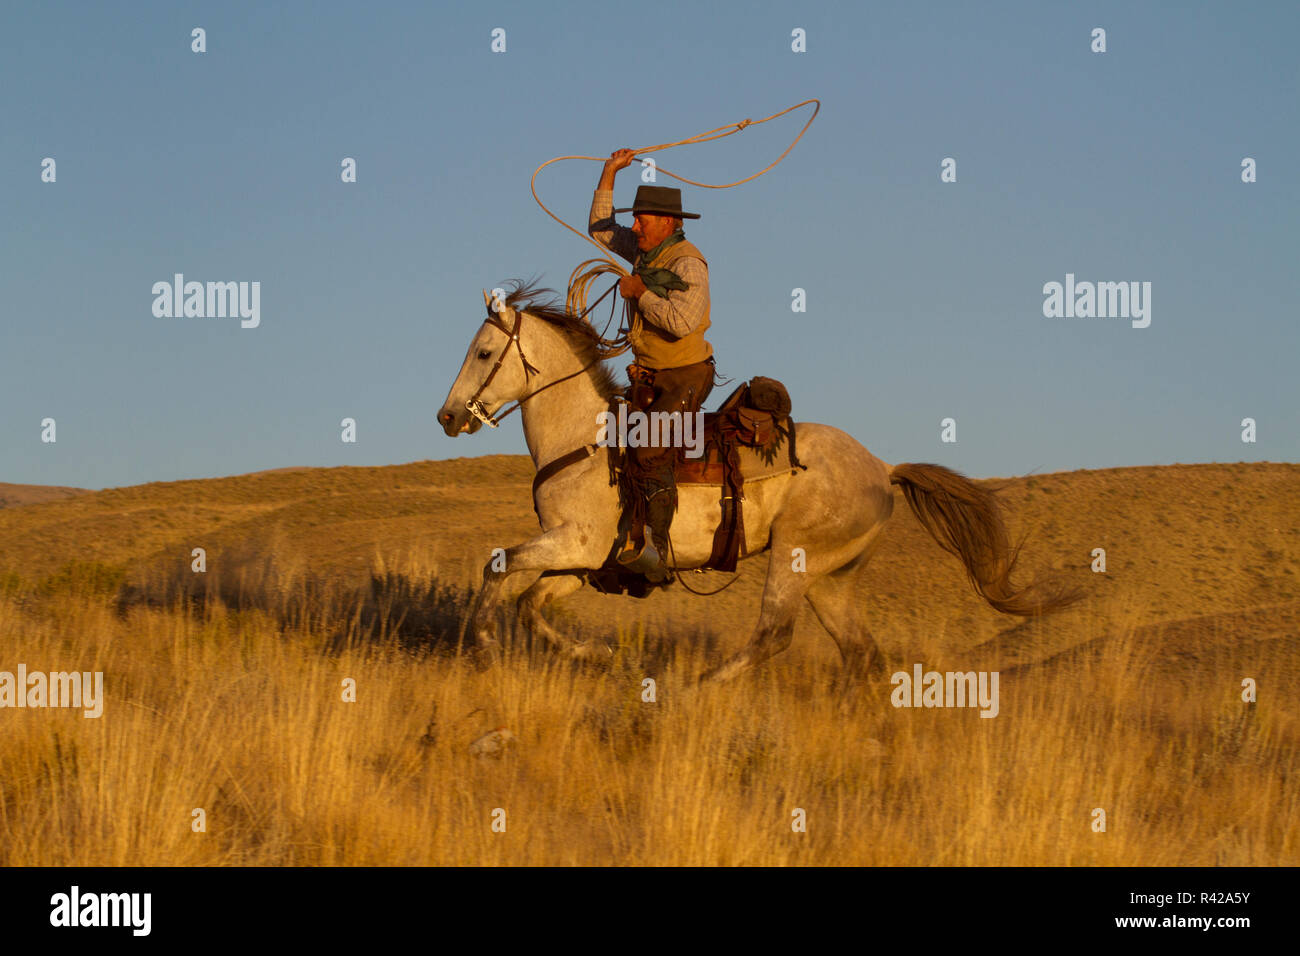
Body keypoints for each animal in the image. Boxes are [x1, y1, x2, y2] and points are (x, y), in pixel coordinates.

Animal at [436, 280, 1076, 686]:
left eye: (484, 352)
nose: (447, 417)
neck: (583, 443)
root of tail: (882, 468)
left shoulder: (576, 543)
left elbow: (499, 569)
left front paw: (485, 651)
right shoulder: (584, 560)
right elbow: (530, 602)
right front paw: (594, 652)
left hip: (793, 556)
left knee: (773, 635)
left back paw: (695, 689)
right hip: (831, 578)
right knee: (861, 654)